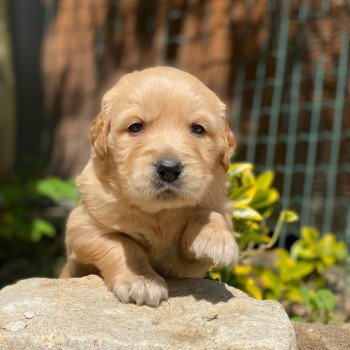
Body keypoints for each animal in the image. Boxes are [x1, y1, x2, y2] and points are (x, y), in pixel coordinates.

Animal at [61, 66, 239, 306]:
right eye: (136, 127)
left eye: (198, 129)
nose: (169, 169)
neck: (158, 213)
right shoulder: (81, 228)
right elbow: (121, 243)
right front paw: (140, 280)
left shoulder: (188, 267)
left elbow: (212, 213)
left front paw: (216, 238)